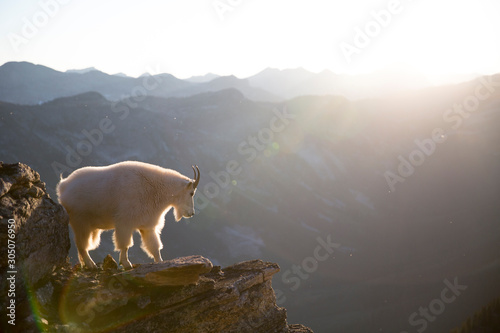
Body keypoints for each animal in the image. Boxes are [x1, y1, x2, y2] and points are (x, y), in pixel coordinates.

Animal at [55, 161, 200, 270]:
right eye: (191, 193)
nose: (191, 213)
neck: (155, 188)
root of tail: (63, 186)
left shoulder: (147, 226)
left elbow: (154, 246)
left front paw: (160, 262)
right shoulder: (125, 222)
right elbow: (125, 244)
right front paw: (126, 264)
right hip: (80, 221)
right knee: (82, 245)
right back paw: (91, 265)